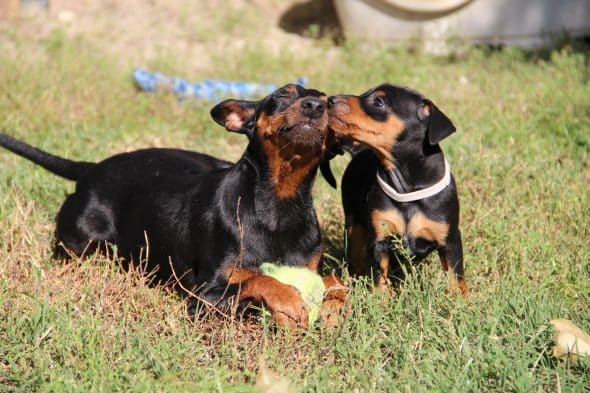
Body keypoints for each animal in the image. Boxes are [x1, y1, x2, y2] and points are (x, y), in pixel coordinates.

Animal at [0, 84, 350, 330]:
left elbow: (336, 284)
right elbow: (257, 280)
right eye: (281, 95)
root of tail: (91, 168)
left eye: (327, 102)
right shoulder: (202, 296)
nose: (315, 106)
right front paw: (290, 300)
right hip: (80, 241)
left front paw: (331, 312)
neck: (279, 203)